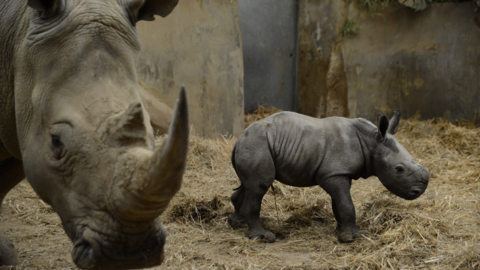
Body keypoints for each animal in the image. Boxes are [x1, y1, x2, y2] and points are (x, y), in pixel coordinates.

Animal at [0, 0, 188, 270]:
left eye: (153, 135)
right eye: (56, 142)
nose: (128, 252)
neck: (17, 32)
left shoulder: (20, 127)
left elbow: (2, 184)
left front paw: (5, 255)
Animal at [229, 109, 432, 243]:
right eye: (399, 169)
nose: (419, 191)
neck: (372, 142)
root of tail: (238, 140)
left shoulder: (338, 173)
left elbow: (339, 203)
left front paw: (341, 232)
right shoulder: (334, 174)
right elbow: (346, 204)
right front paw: (354, 237)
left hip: (254, 146)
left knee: (248, 185)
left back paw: (237, 223)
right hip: (257, 146)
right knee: (259, 187)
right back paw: (262, 237)